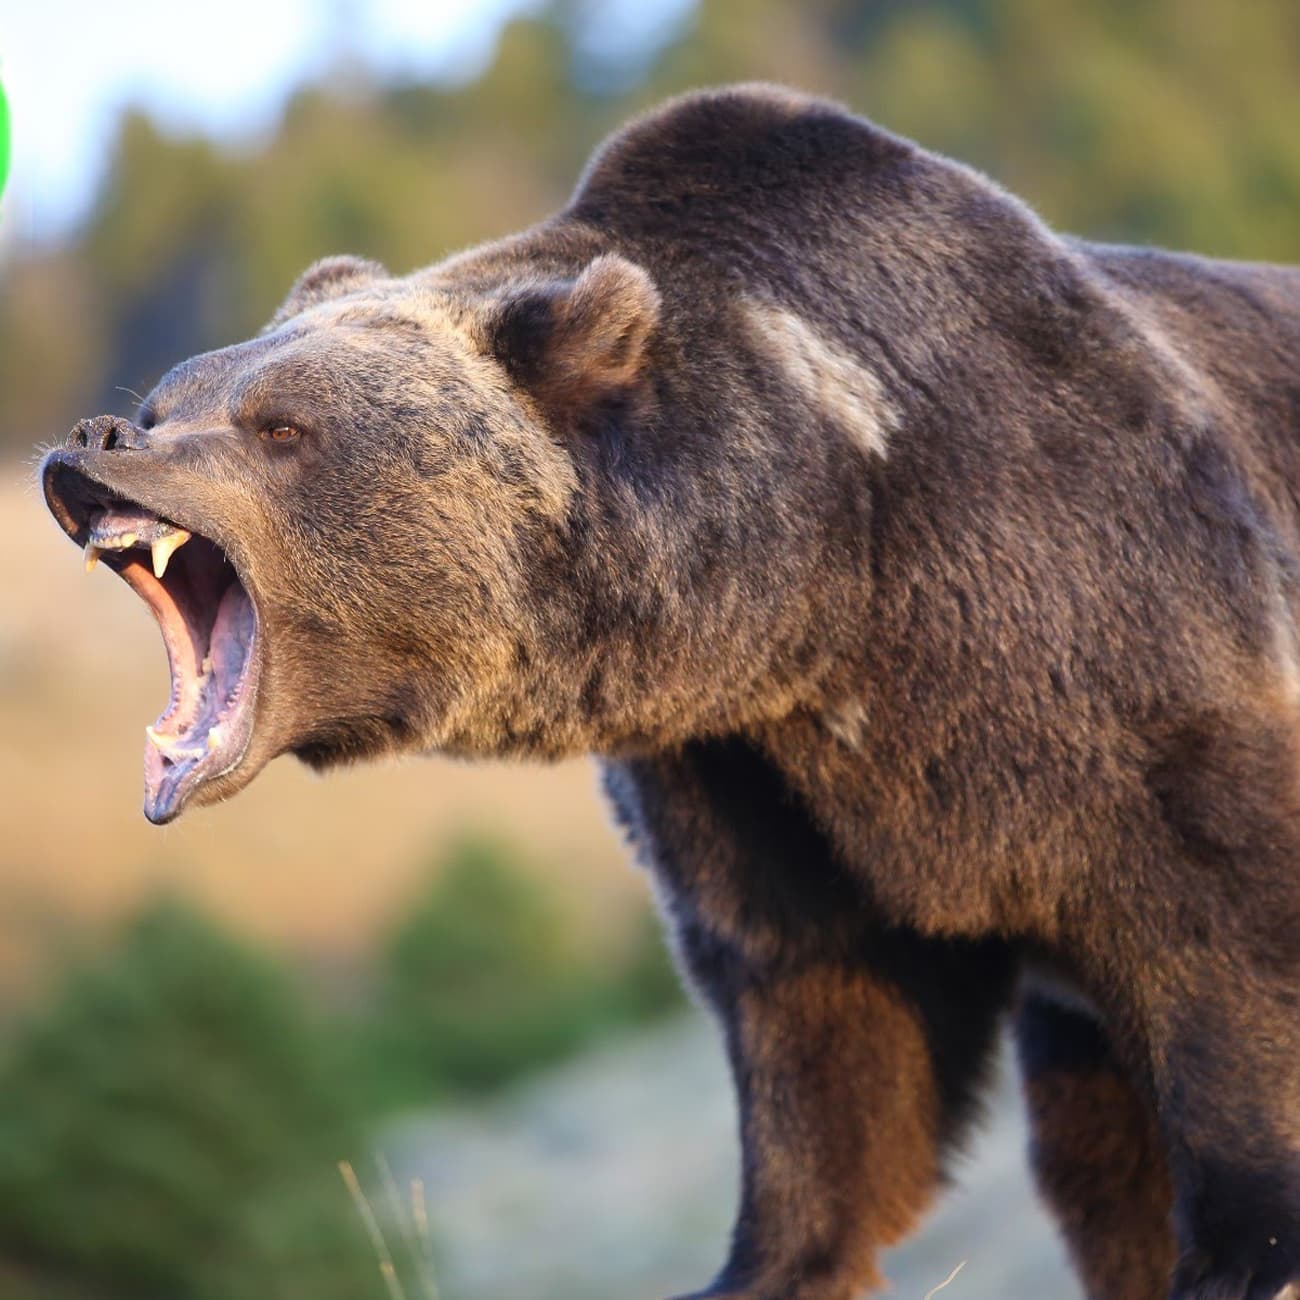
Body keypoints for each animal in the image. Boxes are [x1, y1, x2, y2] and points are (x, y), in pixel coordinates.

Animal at [40, 84, 1300, 1300]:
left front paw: (1244, 1252)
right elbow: (815, 1012)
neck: (821, 579)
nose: (95, 439)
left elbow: (1220, 929)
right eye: (164, 402)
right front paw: (767, 1260)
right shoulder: (752, 778)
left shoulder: (1106, 633)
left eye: (281, 426)